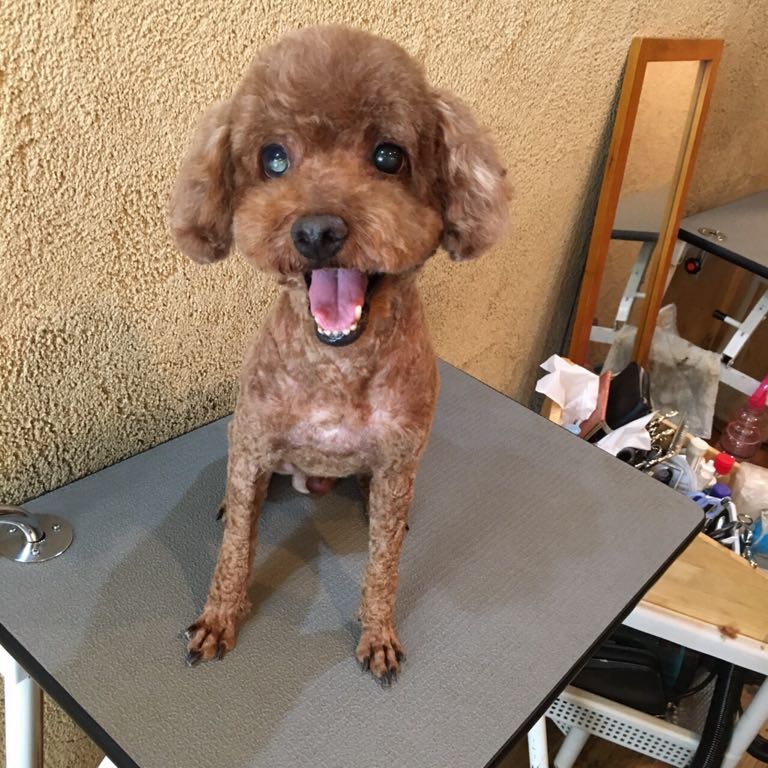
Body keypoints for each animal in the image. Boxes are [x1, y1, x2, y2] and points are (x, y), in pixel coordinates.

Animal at [170, 25, 508, 681]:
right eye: (274, 158)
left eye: (388, 156)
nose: (317, 231)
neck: (336, 367)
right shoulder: (253, 438)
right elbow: (234, 552)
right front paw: (220, 617)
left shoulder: (398, 459)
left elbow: (385, 568)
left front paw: (377, 633)